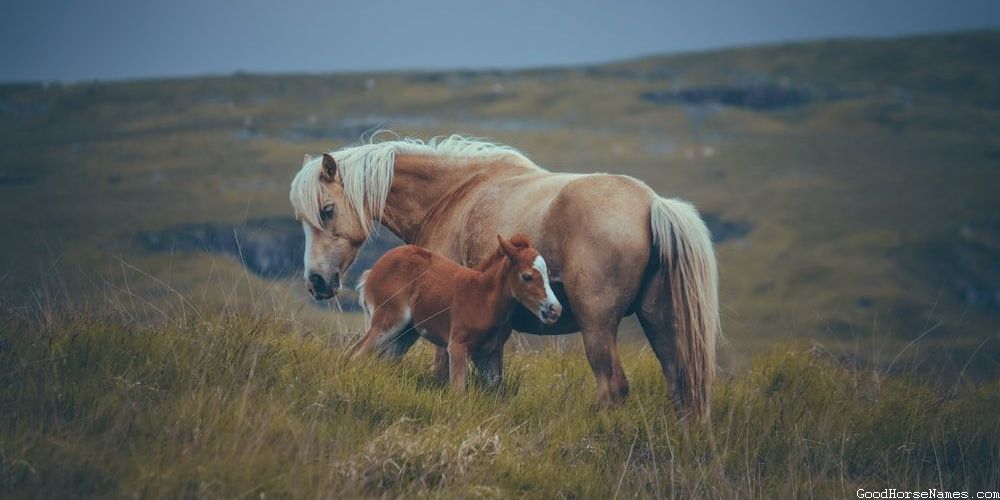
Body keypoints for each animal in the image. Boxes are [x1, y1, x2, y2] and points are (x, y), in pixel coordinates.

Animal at [350, 234, 562, 391]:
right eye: (527, 276)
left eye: (547, 275)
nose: (555, 309)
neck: (484, 299)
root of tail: (371, 272)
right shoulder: (458, 347)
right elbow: (458, 391)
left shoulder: (489, 354)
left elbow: (496, 390)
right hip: (389, 320)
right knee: (356, 353)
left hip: (406, 333)